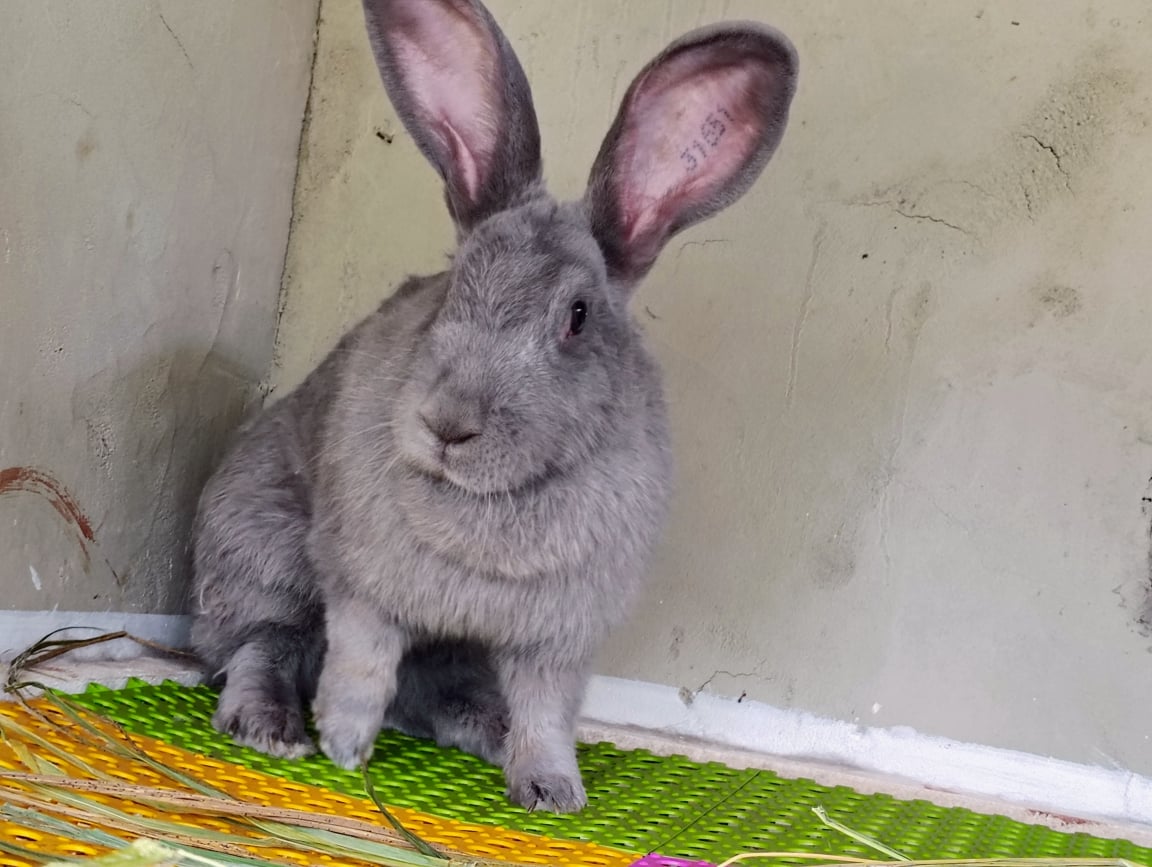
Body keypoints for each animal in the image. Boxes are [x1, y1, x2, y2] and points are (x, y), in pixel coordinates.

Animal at [189, 0, 797, 814]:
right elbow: (360, 667)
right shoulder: (365, 591)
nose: (448, 425)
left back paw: (488, 731)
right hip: (262, 551)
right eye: (454, 285)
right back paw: (274, 728)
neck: (488, 500)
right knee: (264, 644)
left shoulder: (559, 639)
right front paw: (345, 746)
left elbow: (546, 711)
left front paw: (552, 791)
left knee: (441, 696)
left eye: (577, 317)